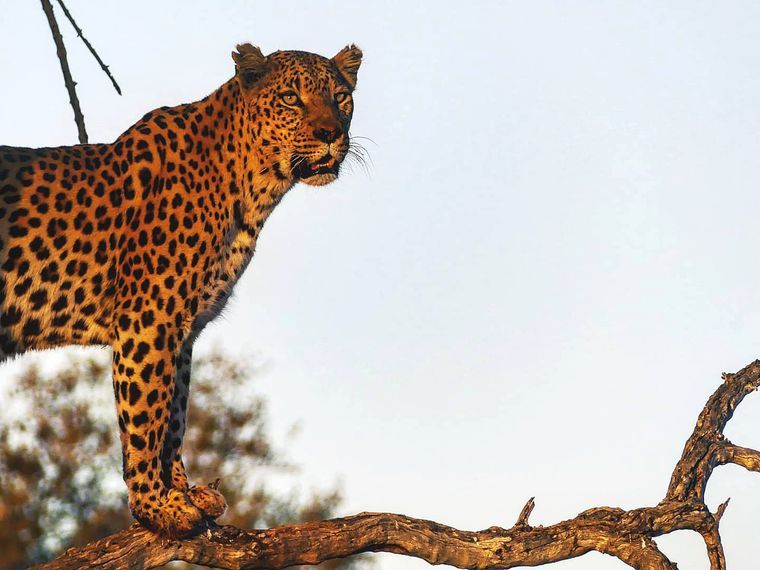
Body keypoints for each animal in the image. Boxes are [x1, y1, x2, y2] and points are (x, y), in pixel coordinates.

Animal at [0, 43, 362, 536]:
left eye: (341, 98)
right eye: (291, 98)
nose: (331, 133)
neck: (252, 187)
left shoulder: (184, 329)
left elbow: (175, 413)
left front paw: (182, 492)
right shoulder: (147, 320)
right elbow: (146, 416)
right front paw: (155, 506)